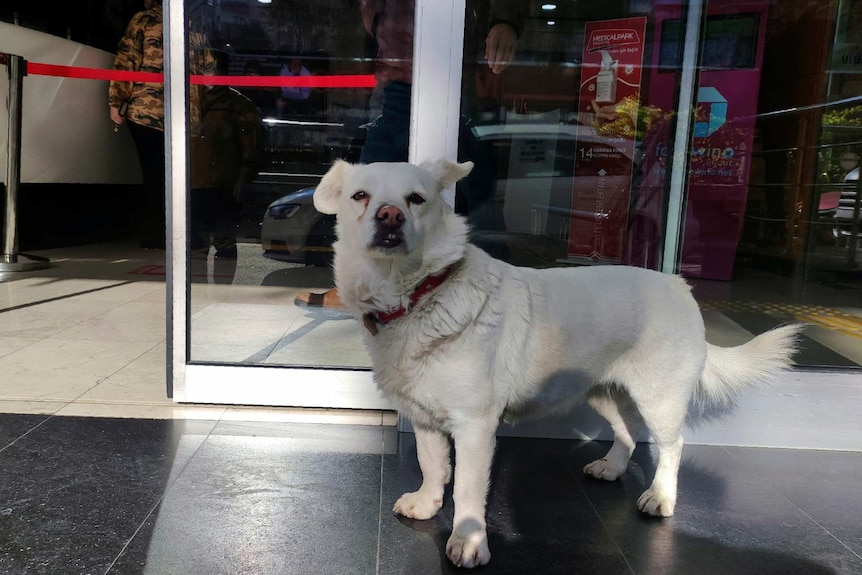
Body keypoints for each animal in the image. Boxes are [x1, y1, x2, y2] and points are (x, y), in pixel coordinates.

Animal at [314, 160, 808, 568]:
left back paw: (660, 497)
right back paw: (611, 468)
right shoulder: (425, 417)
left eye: (415, 199)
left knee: (672, 445)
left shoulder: (475, 426)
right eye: (361, 196)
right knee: (628, 432)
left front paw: (469, 543)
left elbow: (469, 489)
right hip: (603, 391)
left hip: (660, 397)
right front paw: (427, 503)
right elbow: (433, 465)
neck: (416, 294)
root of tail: (680, 285)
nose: (389, 216)